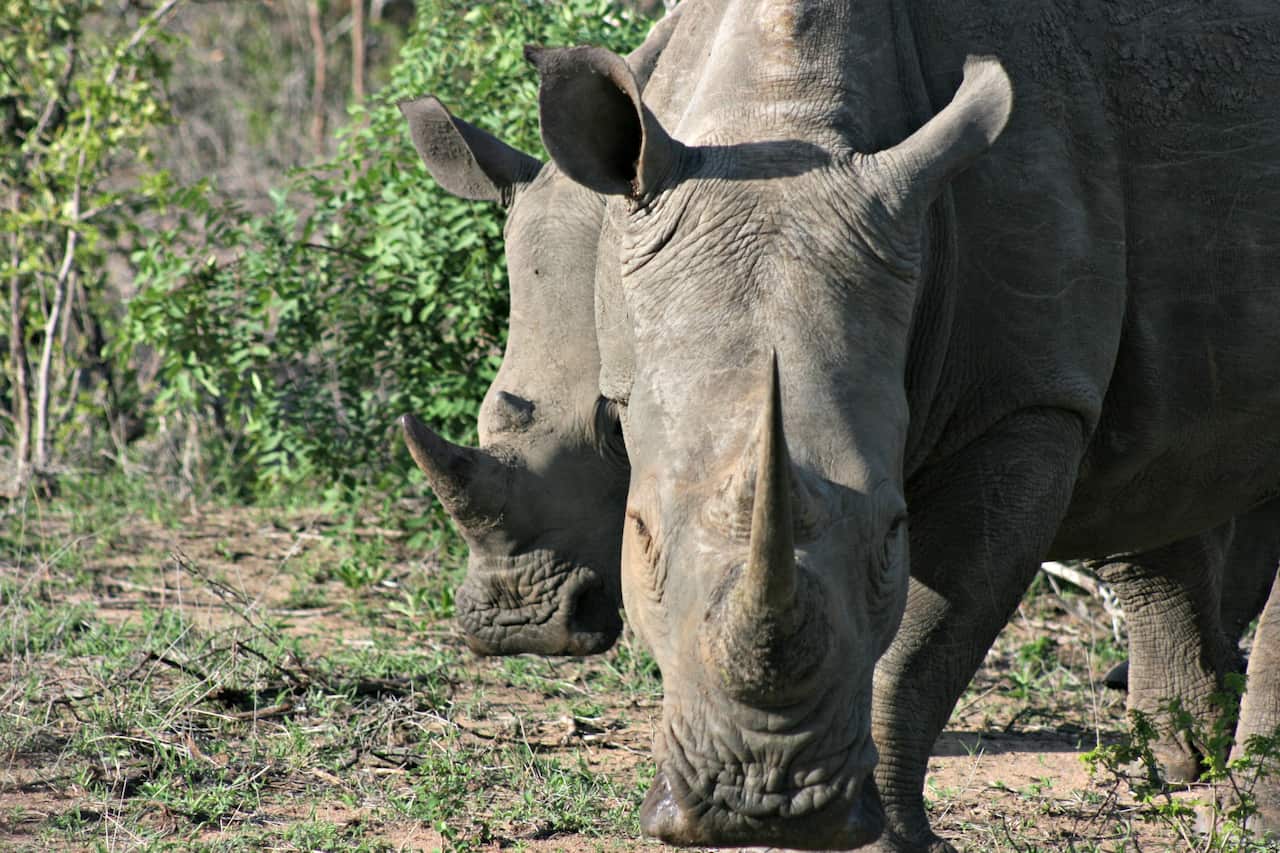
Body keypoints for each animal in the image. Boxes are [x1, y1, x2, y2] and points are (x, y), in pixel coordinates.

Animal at [518, 0, 1280, 848]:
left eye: (893, 531)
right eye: (641, 533)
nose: (761, 799)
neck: (778, 119)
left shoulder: (1021, 399)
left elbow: (923, 636)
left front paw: (879, 836)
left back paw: (1238, 803)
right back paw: (1179, 765)